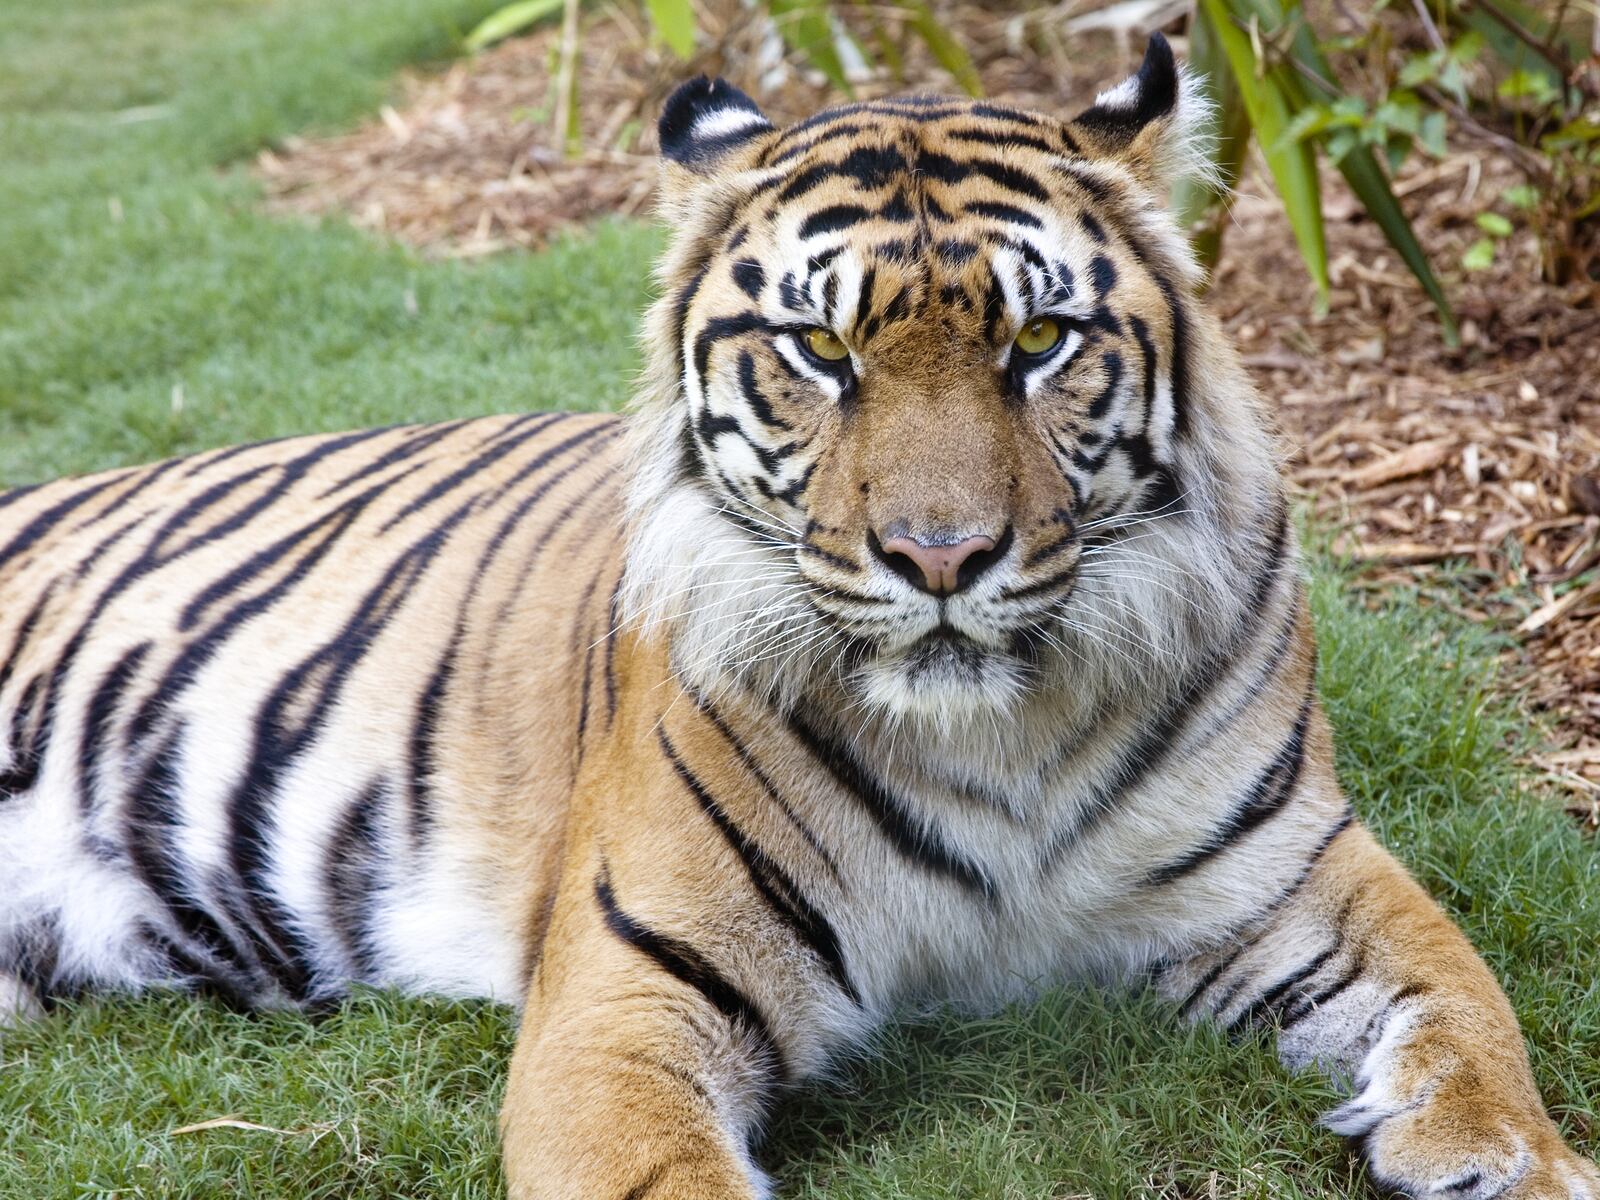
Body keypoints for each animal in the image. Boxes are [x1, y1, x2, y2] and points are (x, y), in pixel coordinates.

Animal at [3, 32, 1600, 1196]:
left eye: (1039, 340)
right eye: (821, 352)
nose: (941, 557)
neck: (1000, 738)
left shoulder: (1293, 868)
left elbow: (1471, 1002)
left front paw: (1511, 1157)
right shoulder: (628, 991)